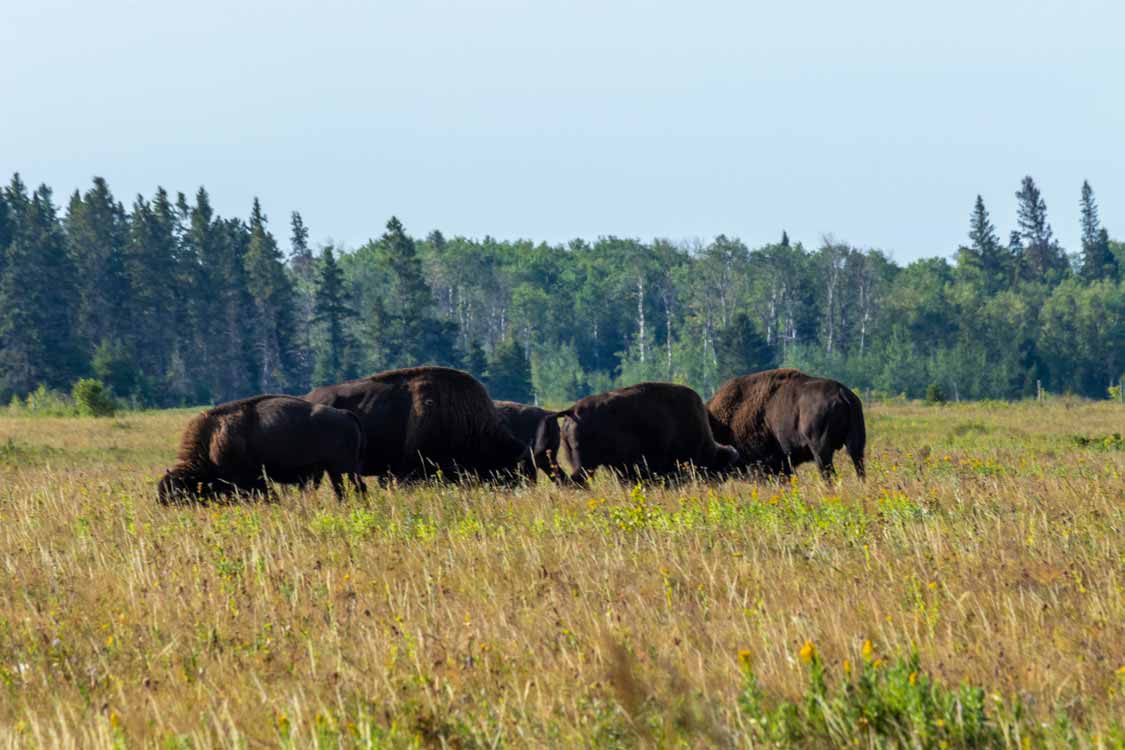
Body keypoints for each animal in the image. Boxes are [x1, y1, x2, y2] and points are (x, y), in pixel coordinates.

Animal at [157, 393, 364, 503]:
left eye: (179, 493)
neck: (213, 439)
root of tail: (345, 414)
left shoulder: (253, 480)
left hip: (341, 468)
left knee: (352, 488)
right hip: (336, 470)